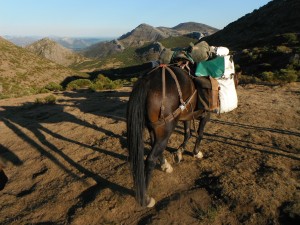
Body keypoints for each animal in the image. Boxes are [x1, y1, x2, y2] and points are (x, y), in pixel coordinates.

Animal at [125, 63, 238, 207]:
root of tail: (148, 80)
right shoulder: (205, 115)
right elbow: (200, 134)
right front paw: (196, 152)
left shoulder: (187, 116)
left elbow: (188, 134)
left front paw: (179, 153)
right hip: (166, 129)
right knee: (150, 159)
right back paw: (145, 199)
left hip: (154, 128)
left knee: (155, 148)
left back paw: (165, 165)